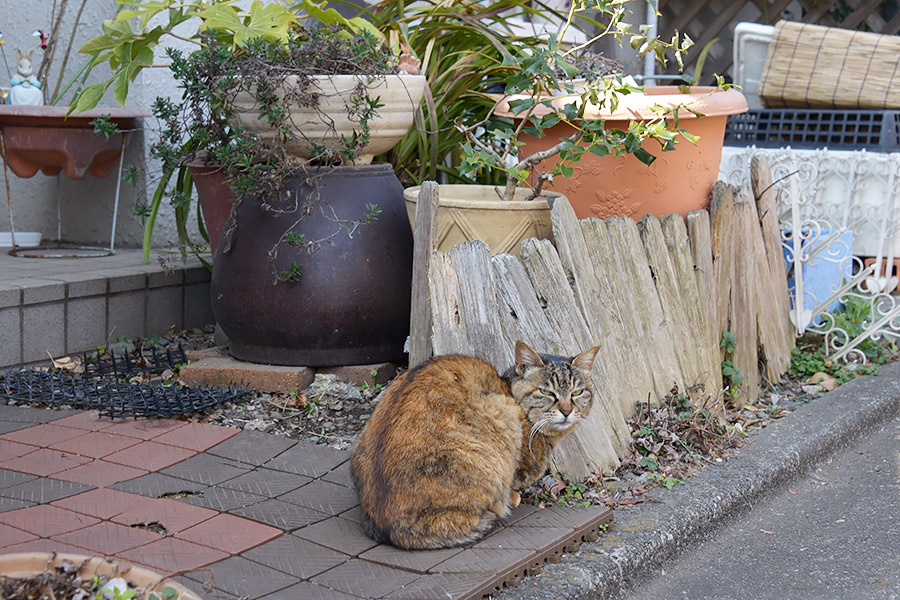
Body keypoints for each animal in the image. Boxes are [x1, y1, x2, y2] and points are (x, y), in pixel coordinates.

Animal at [350, 340, 596, 552]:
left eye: (577, 392)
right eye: (546, 392)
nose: (567, 411)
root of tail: (389, 527)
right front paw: (514, 495)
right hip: (499, 420)